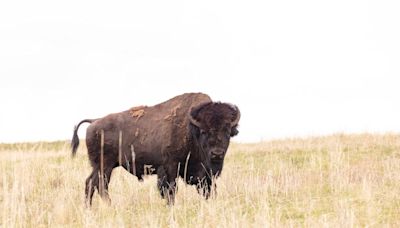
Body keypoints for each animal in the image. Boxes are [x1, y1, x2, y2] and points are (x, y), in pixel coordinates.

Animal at [71, 92, 241, 205]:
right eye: (204, 131)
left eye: (227, 131)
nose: (217, 154)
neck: (191, 129)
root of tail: (94, 121)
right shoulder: (170, 167)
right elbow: (170, 190)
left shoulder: (205, 175)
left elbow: (207, 189)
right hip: (104, 166)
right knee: (97, 185)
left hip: (102, 166)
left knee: (92, 184)